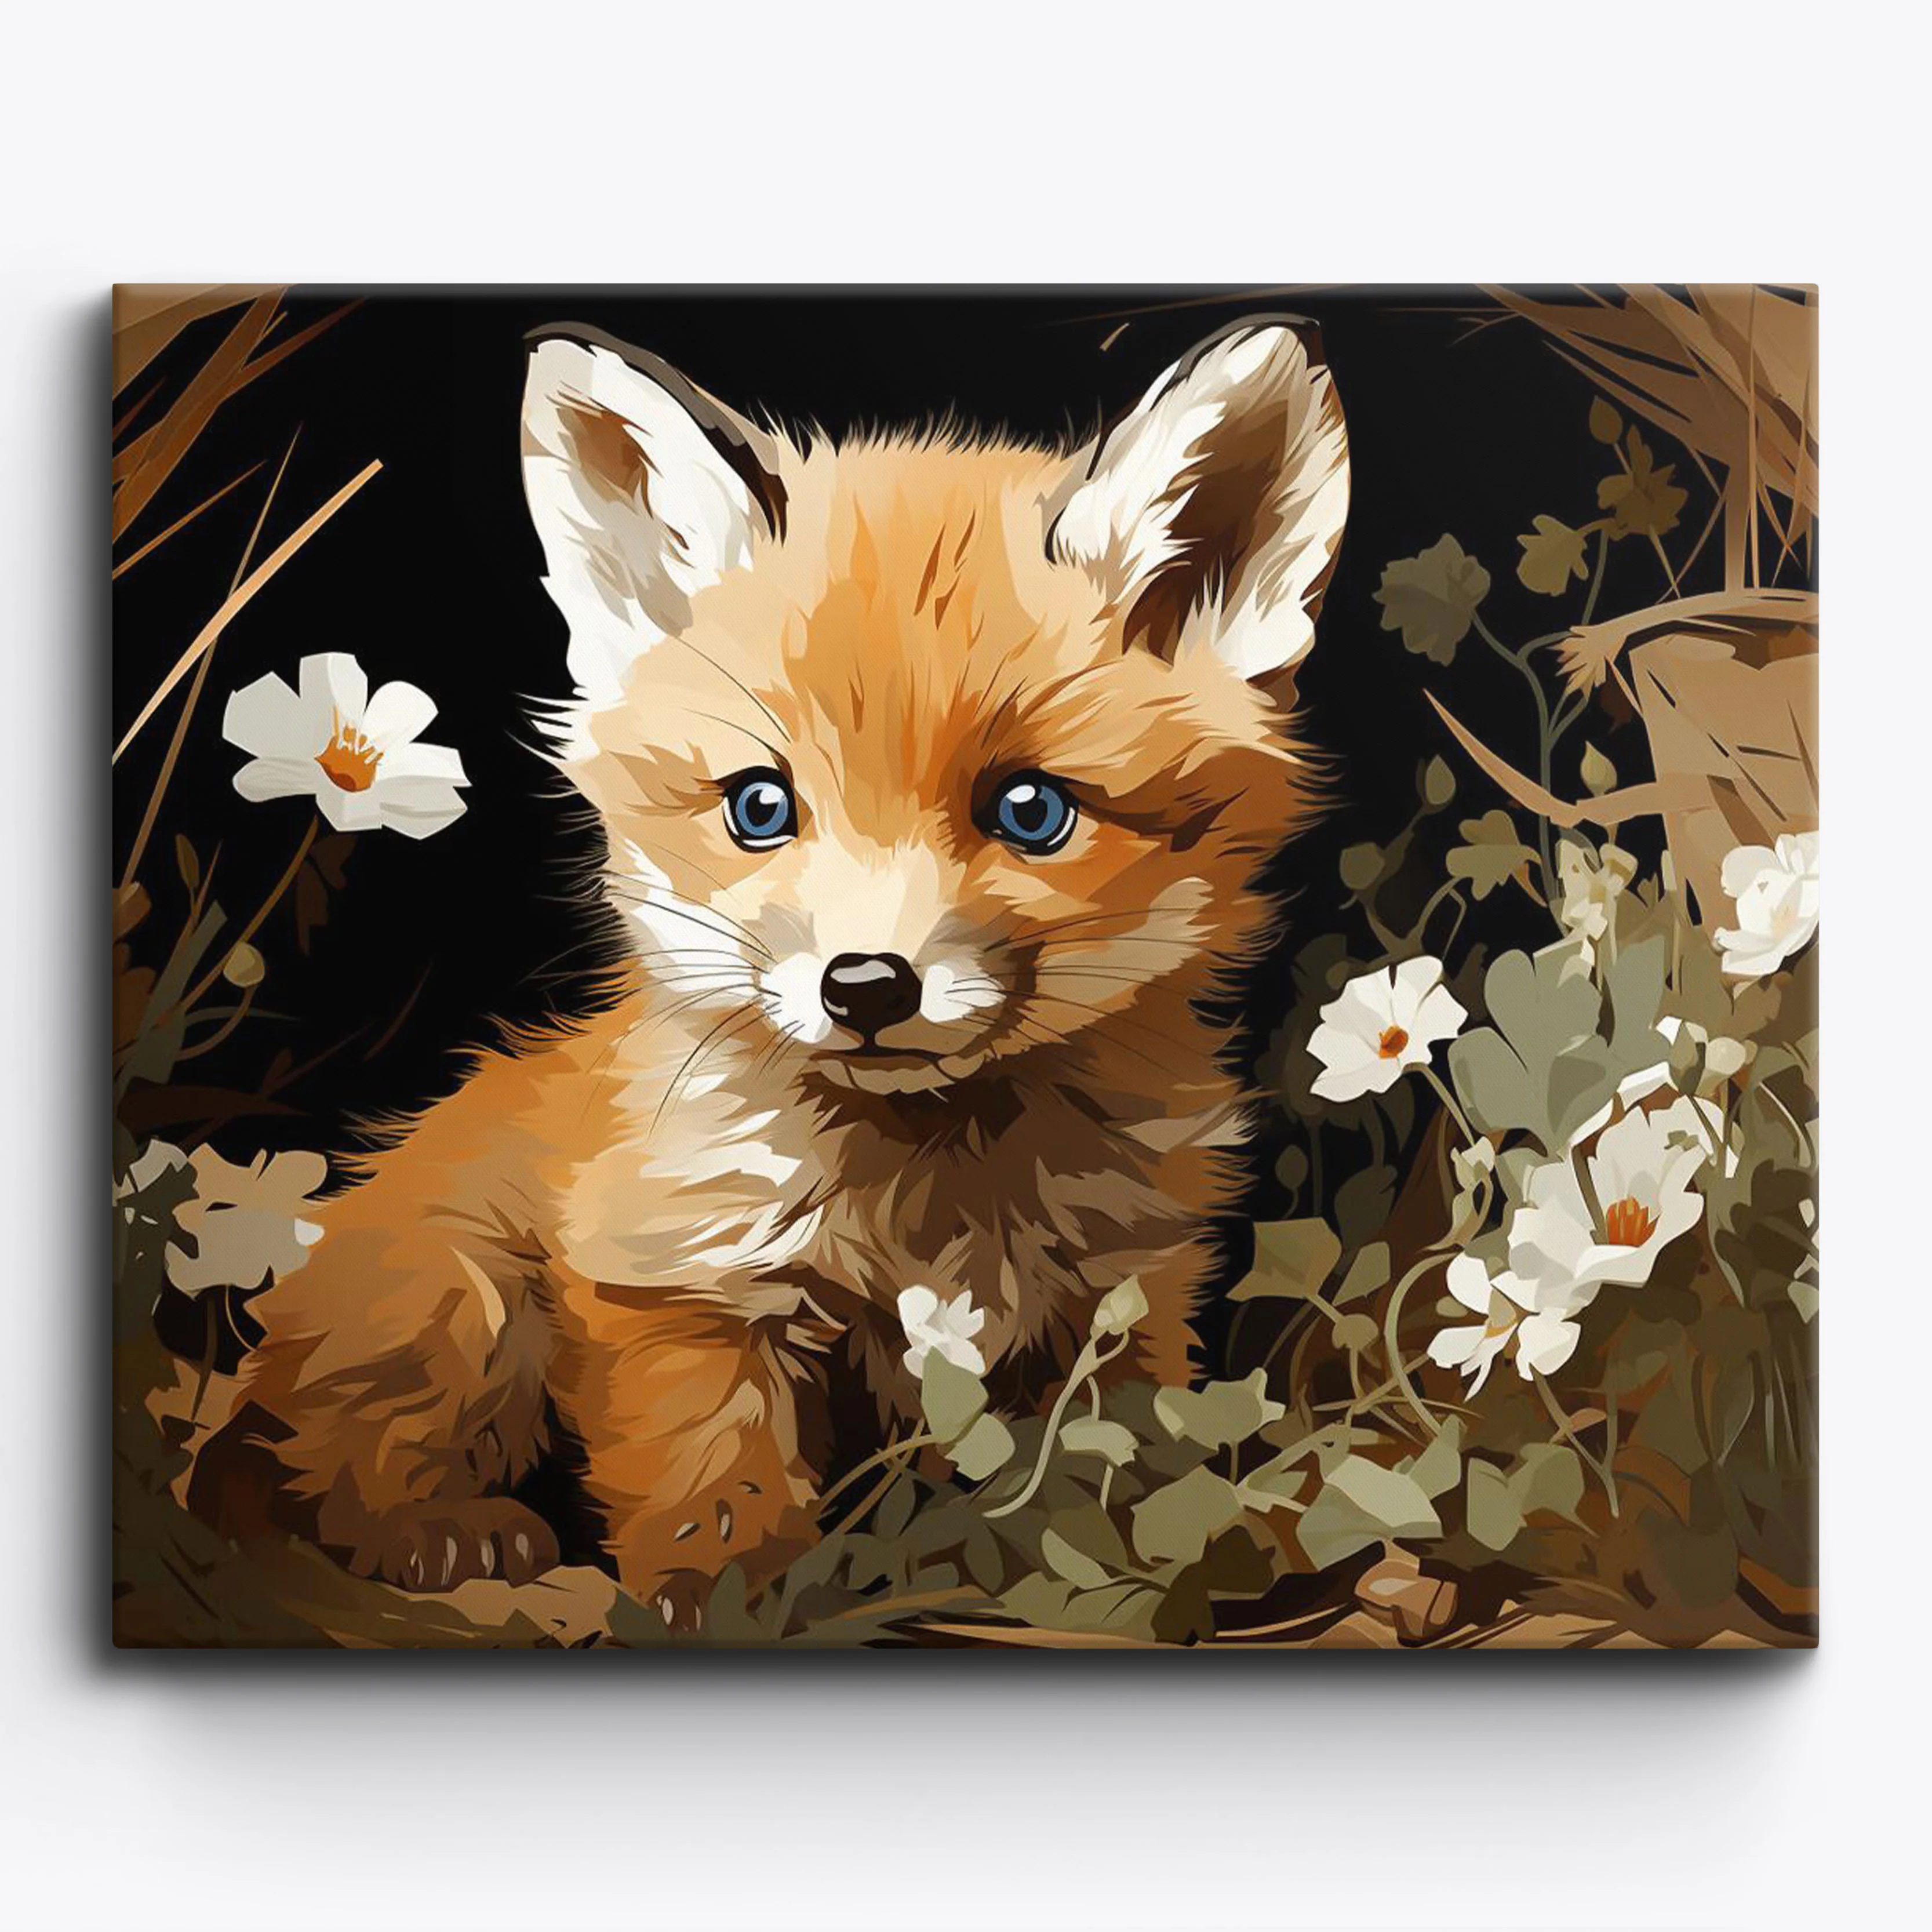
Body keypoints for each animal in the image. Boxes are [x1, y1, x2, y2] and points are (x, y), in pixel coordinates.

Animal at [191, 314, 1352, 1629]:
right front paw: (728, 1597)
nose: (866, 986)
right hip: (462, 1298)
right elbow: (714, 1488)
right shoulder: (676, 1282)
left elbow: (1116, 1466)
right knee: (335, 1469)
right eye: (759, 805)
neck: (926, 1192)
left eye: (1029, 809)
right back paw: (442, 1529)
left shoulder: (1121, 1288)